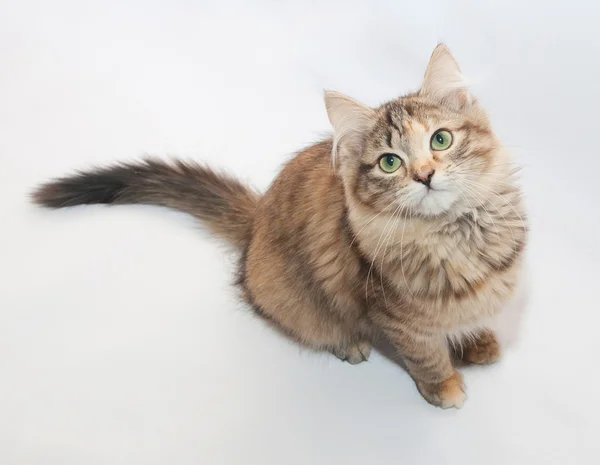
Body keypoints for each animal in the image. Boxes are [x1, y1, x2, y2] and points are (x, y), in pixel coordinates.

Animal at [31, 43, 524, 406]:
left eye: (440, 140)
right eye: (389, 163)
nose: (424, 175)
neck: (456, 235)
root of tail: (257, 223)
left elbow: (470, 319)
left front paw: (478, 341)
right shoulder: (396, 316)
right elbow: (426, 354)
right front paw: (444, 385)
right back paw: (348, 344)